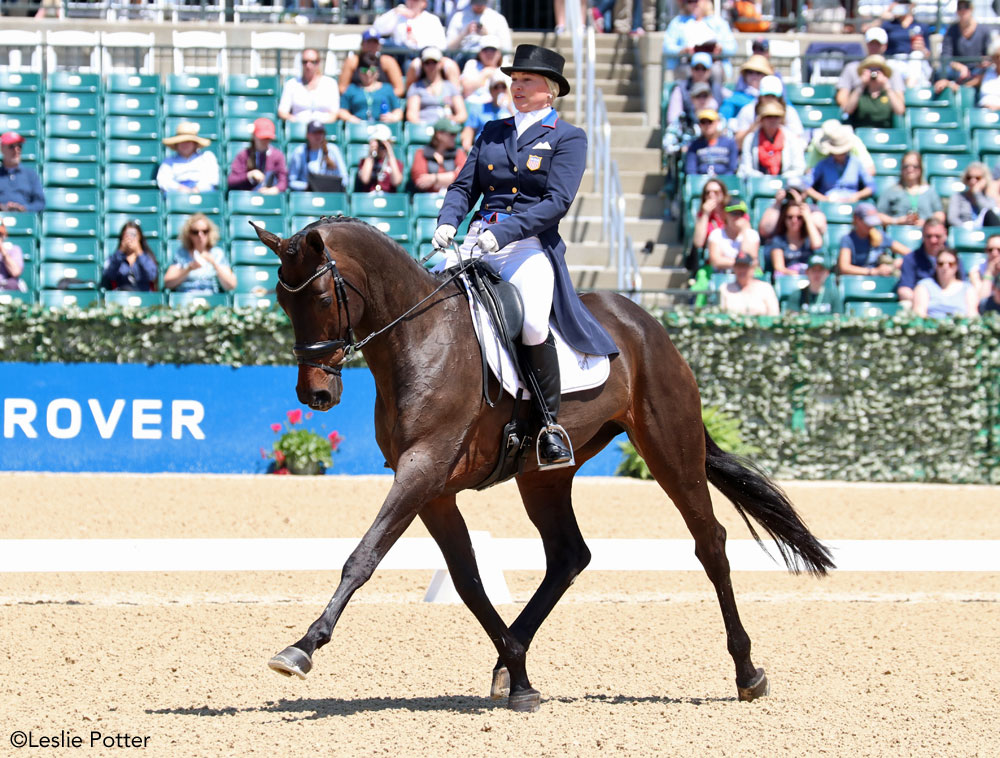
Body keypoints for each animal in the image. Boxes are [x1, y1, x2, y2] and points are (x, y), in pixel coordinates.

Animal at [254, 218, 832, 712]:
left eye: (322, 297)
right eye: (282, 300)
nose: (315, 395)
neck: (419, 340)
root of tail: (644, 322)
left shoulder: (423, 469)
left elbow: (363, 557)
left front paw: (301, 648)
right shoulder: (433, 489)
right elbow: (468, 581)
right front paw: (519, 677)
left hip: (670, 448)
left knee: (709, 542)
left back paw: (748, 673)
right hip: (544, 475)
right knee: (569, 555)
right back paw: (509, 664)